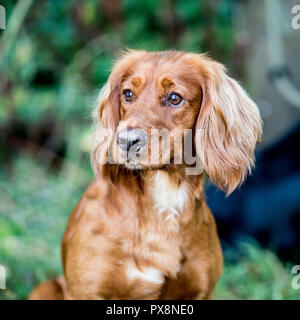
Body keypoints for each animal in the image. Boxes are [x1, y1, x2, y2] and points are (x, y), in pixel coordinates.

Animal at [29, 50, 262, 300]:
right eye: (128, 94)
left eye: (174, 98)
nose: (126, 141)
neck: (164, 196)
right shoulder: (85, 291)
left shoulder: (200, 292)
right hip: (45, 288)